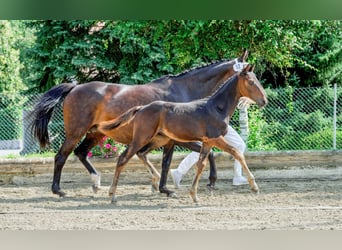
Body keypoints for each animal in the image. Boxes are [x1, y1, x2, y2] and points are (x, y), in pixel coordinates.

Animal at [30, 50, 248, 197]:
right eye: (248, 73)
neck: (184, 90)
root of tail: (74, 88)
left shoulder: (173, 139)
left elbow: (168, 162)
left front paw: (163, 187)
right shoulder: (178, 138)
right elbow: (199, 155)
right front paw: (207, 182)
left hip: (96, 133)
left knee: (81, 152)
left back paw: (96, 182)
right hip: (76, 132)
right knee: (61, 156)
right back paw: (59, 190)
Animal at [96, 64, 268, 203]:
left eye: (257, 79)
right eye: (251, 82)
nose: (264, 100)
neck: (216, 108)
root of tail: (141, 108)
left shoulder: (207, 141)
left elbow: (201, 163)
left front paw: (194, 195)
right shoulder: (215, 137)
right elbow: (236, 152)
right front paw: (254, 187)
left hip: (159, 140)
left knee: (140, 154)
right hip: (141, 138)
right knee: (123, 159)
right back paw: (112, 195)